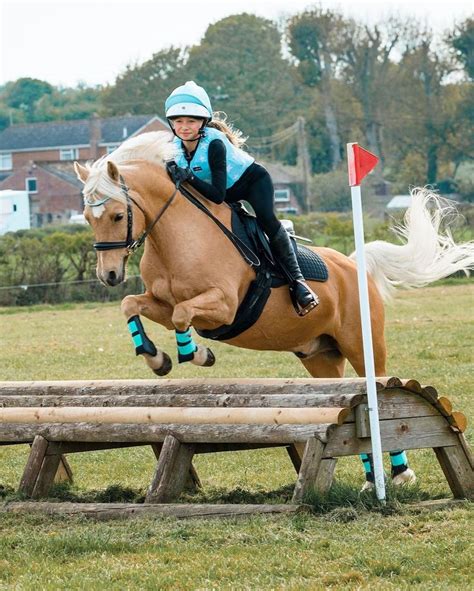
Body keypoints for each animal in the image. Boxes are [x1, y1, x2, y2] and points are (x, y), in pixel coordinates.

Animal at [75, 133, 474, 490]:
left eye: (116, 215)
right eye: (87, 217)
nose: (109, 275)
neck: (179, 236)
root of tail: (353, 264)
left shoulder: (223, 306)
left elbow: (182, 316)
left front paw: (196, 354)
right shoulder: (161, 301)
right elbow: (134, 304)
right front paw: (155, 357)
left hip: (362, 343)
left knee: (377, 389)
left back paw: (401, 473)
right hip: (321, 357)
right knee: (345, 400)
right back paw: (371, 477)